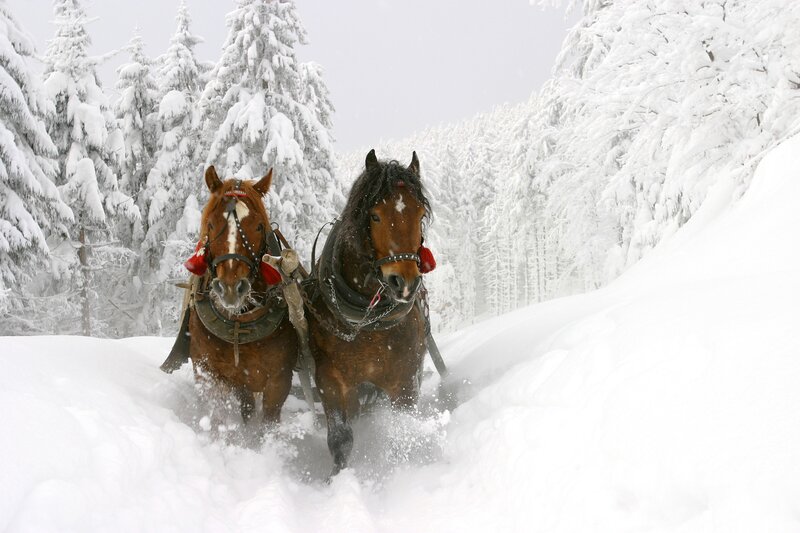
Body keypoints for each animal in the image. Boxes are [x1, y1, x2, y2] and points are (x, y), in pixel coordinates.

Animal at [183, 166, 298, 427]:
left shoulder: (279, 381)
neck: (239, 324)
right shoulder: (209, 372)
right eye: (211, 224)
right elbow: (217, 418)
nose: (230, 288)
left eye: (259, 226)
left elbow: (269, 422)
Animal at [305, 149, 436, 475]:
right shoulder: (331, 380)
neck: (368, 321)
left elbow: (402, 432)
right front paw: (337, 479)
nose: (404, 282)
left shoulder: (405, 380)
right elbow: (341, 439)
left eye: (420, 214)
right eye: (375, 215)